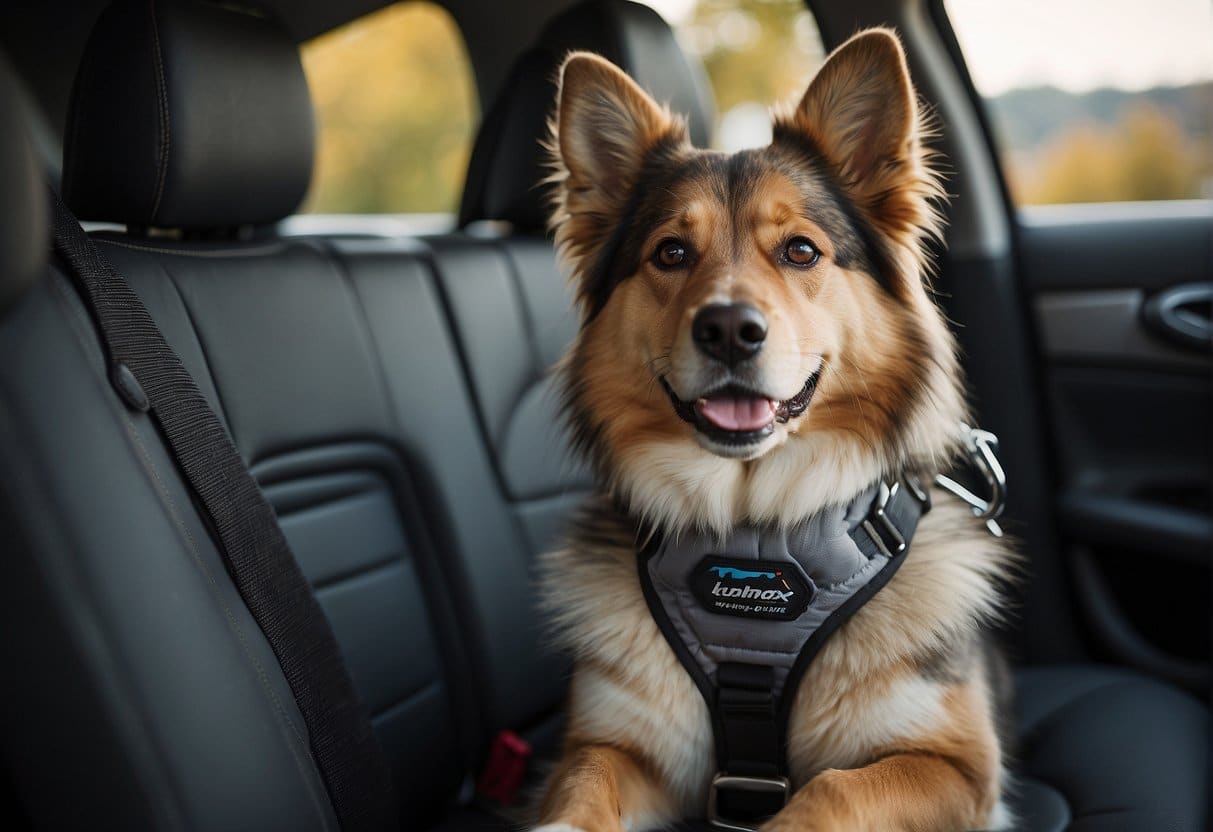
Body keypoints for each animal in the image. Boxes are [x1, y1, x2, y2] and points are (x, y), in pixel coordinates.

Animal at [536, 29, 1018, 832]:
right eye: (670, 253)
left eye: (800, 250)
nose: (729, 329)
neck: (755, 524)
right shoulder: (614, 744)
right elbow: (581, 791)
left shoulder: (954, 766)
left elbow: (834, 789)